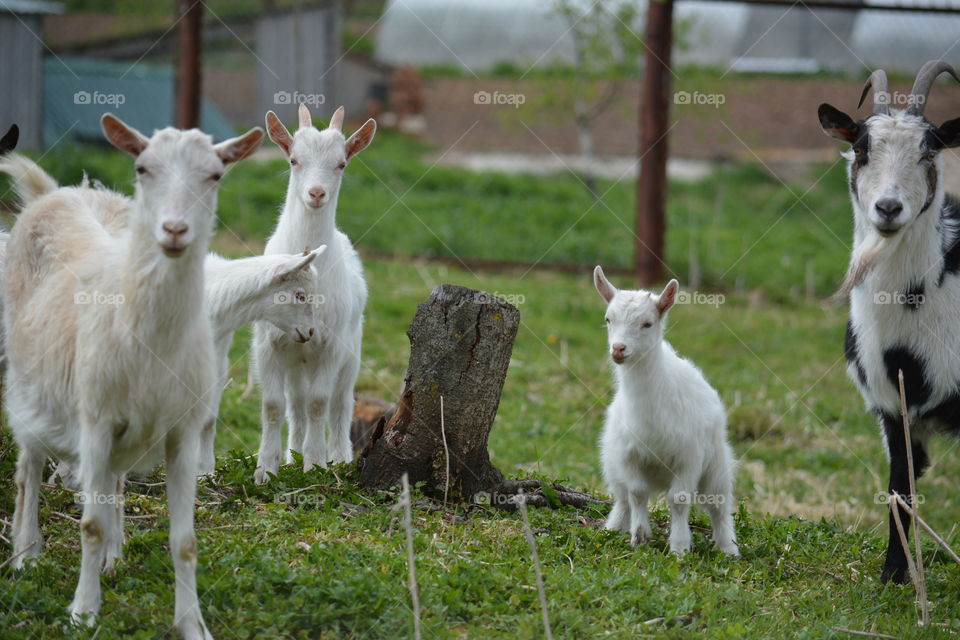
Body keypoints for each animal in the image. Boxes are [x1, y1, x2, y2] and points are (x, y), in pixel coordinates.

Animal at [5, 113, 262, 637]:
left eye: (215, 175)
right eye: (143, 168)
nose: (175, 229)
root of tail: (58, 192)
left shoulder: (181, 429)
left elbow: (184, 539)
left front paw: (193, 624)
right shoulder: (95, 419)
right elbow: (88, 525)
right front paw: (83, 613)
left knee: (113, 483)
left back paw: (114, 557)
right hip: (28, 384)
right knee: (29, 467)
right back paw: (27, 552)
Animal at [252, 104, 374, 483]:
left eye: (342, 163)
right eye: (293, 159)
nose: (316, 194)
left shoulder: (331, 344)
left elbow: (320, 403)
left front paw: (317, 465)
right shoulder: (269, 343)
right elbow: (273, 405)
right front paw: (266, 469)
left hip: (351, 352)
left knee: (340, 404)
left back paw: (337, 457)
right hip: (295, 359)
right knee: (296, 403)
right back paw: (292, 456)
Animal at [593, 266, 739, 557]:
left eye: (647, 323)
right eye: (608, 319)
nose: (618, 349)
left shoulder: (689, 456)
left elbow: (679, 499)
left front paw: (680, 547)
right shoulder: (628, 456)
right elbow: (637, 493)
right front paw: (639, 536)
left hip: (717, 462)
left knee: (719, 505)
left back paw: (728, 547)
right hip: (611, 461)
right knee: (621, 497)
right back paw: (612, 528)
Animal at [819, 61, 960, 584]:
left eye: (929, 150)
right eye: (861, 148)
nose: (888, 208)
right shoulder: (892, 407)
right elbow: (901, 489)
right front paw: (894, 575)